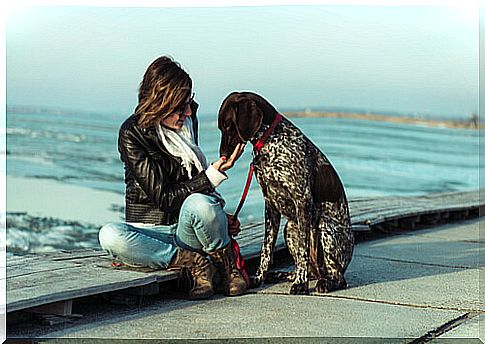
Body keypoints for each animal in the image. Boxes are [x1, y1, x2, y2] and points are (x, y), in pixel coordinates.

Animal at [217, 92, 354, 296]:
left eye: (227, 125)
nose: (222, 155)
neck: (271, 139)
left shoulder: (302, 200)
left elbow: (303, 250)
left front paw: (301, 285)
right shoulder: (270, 204)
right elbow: (266, 249)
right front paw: (259, 277)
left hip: (324, 227)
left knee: (338, 277)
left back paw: (324, 283)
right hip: (290, 228)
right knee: (306, 267)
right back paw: (285, 275)